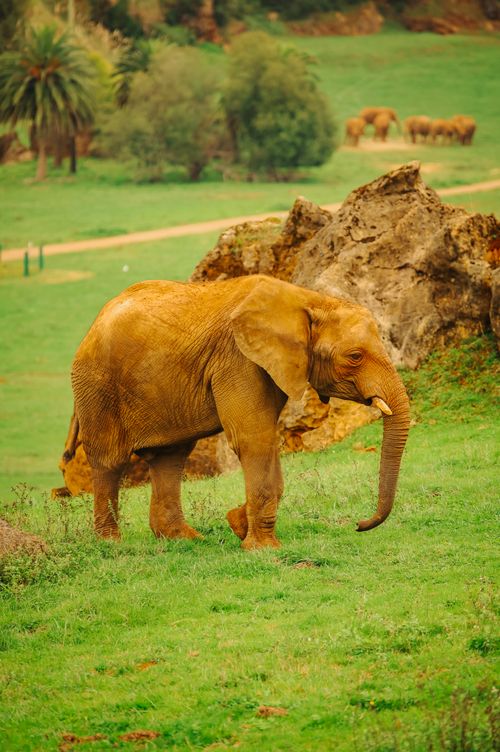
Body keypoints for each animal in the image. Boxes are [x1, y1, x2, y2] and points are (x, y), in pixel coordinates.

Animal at [67, 275, 411, 549]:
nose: (359, 525)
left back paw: (184, 540)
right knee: (110, 461)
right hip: (97, 386)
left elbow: (266, 440)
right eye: (355, 356)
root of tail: (93, 324)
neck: (308, 300)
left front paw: (238, 524)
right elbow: (254, 439)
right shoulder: (238, 360)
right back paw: (111, 544)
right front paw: (262, 548)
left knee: (170, 458)